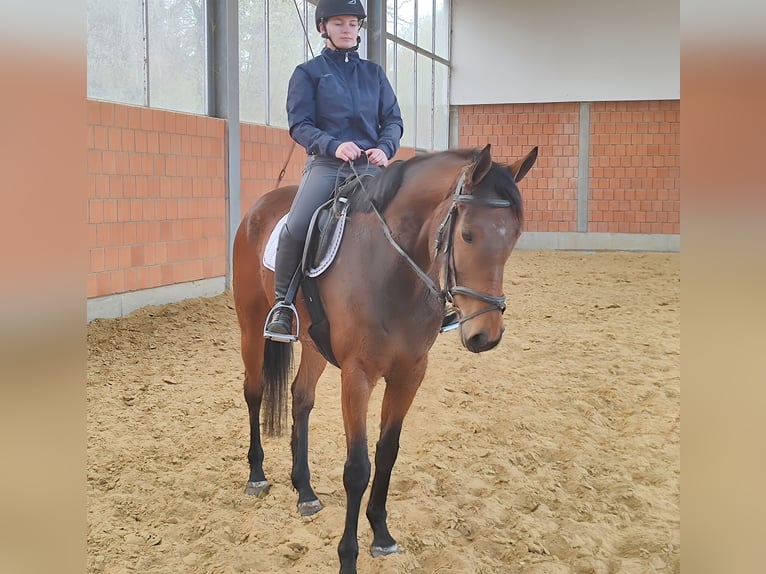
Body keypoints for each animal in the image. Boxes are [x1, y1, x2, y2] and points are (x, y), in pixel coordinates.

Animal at [232, 144, 537, 574]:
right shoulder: (358, 376)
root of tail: (260, 206)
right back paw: (257, 475)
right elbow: (357, 468)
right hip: (251, 324)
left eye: (514, 236)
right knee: (254, 392)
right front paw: (348, 557)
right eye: (467, 234)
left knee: (301, 398)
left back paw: (305, 490)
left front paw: (381, 534)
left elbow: (388, 452)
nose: (486, 335)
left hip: (313, 344)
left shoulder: (410, 373)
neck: (393, 270)